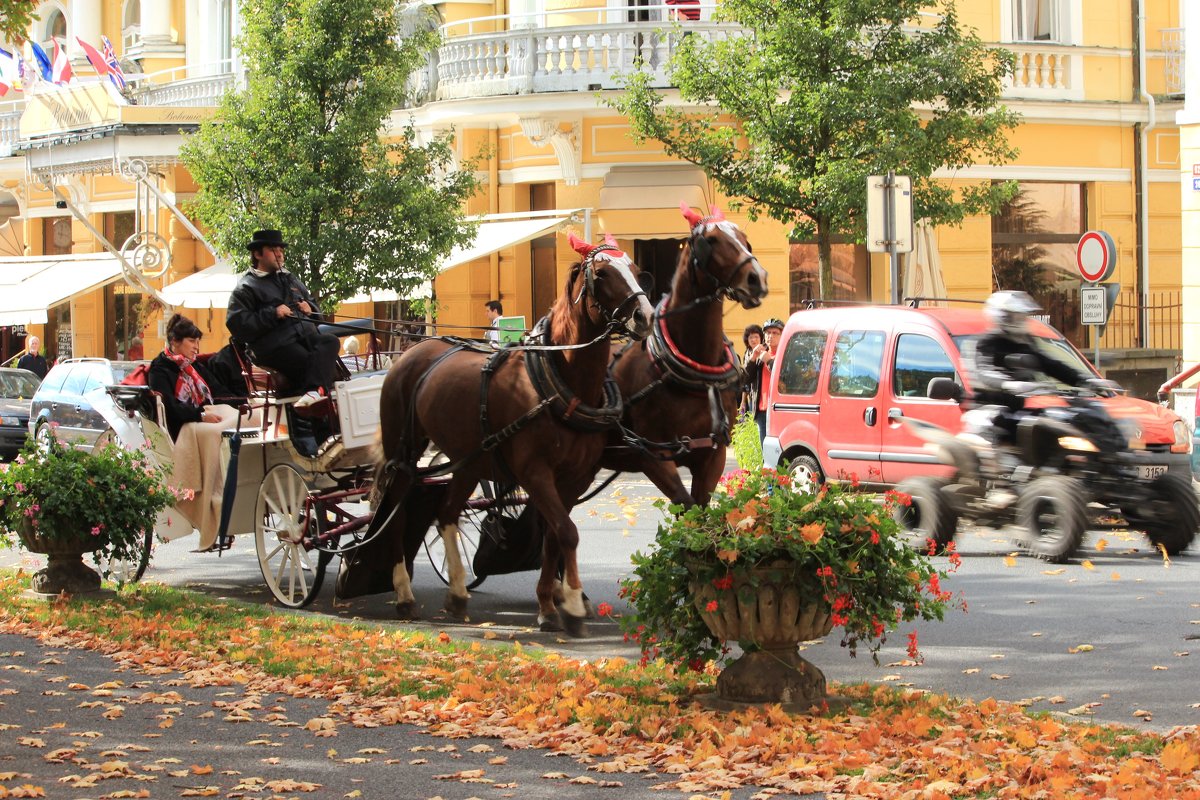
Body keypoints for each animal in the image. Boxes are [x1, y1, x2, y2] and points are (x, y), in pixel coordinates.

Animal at [374, 235, 657, 633]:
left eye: (634, 270)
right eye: (601, 274)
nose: (645, 316)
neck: (559, 378)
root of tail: (412, 351)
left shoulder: (575, 476)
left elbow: (555, 534)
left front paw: (550, 603)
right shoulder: (534, 471)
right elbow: (567, 531)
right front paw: (571, 604)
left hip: (468, 461)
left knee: (446, 513)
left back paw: (457, 594)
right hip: (404, 454)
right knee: (397, 515)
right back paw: (404, 594)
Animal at [600, 205, 768, 506]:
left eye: (744, 238)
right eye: (709, 241)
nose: (756, 277)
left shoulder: (713, 454)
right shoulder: (653, 457)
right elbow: (687, 510)